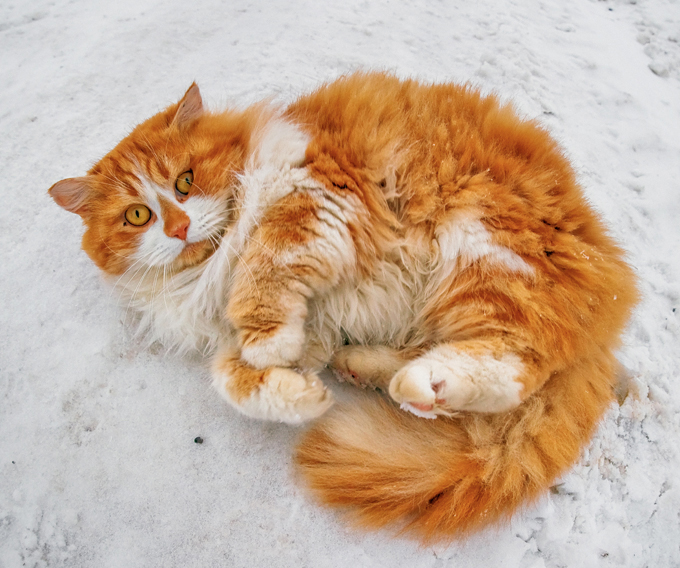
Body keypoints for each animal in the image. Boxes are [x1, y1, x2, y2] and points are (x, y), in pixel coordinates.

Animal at [47, 73, 636, 544]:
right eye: (137, 216)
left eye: (184, 182)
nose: (179, 228)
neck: (213, 265)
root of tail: (611, 283)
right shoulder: (313, 318)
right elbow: (232, 377)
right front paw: (297, 393)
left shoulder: (317, 193)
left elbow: (264, 266)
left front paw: (270, 345)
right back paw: (373, 371)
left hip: (482, 245)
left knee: (520, 359)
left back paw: (427, 383)